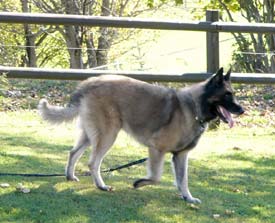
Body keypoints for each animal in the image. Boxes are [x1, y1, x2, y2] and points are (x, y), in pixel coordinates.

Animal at [38, 67, 244, 204]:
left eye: (232, 93)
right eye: (227, 94)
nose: (242, 110)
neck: (194, 107)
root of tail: (89, 83)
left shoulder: (181, 155)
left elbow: (182, 180)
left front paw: (188, 197)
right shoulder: (156, 149)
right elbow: (157, 177)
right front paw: (139, 183)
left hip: (92, 135)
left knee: (73, 152)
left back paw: (70, 176)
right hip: (107, 135)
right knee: (92, 162)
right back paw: (101, 186)